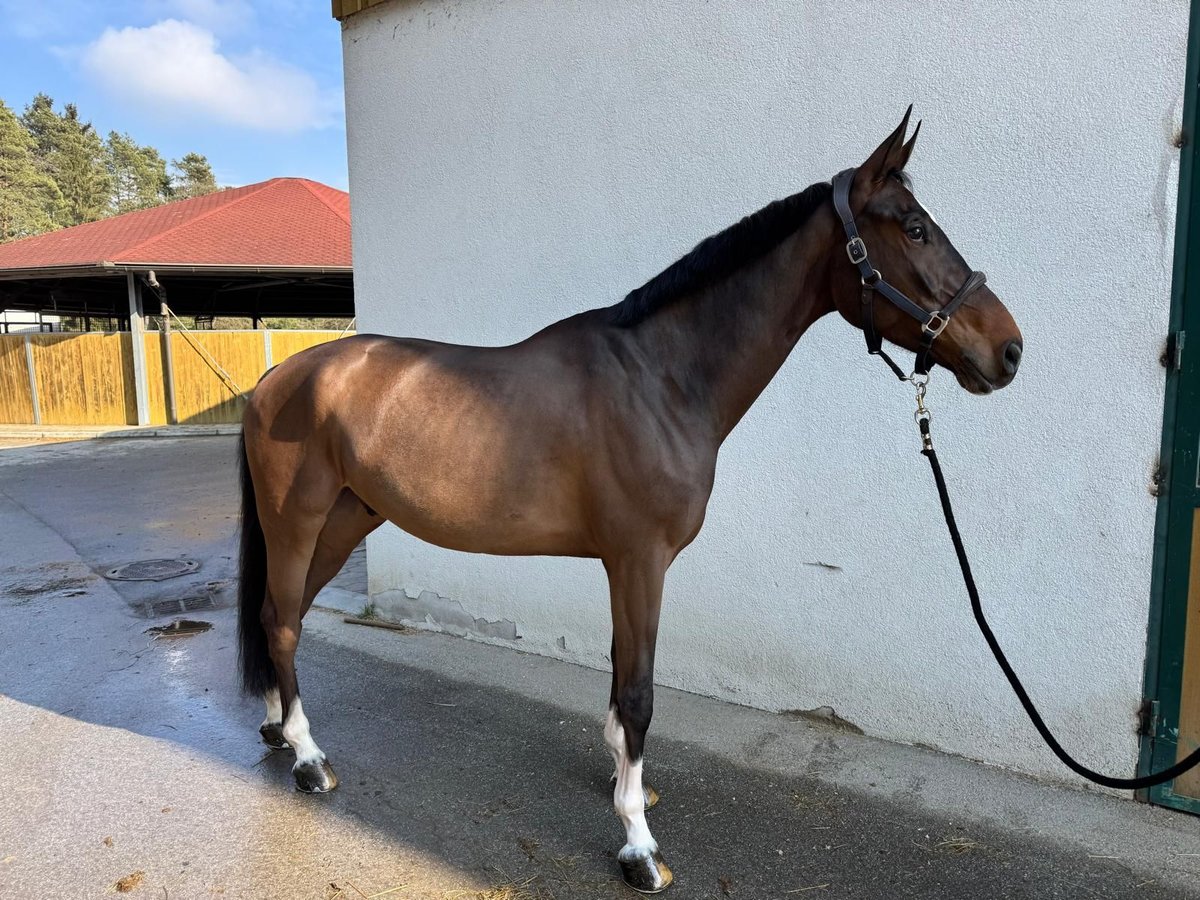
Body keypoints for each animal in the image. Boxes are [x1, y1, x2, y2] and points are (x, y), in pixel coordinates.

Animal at [236, 109, 1022, 892]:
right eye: (915, 228)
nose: (1010, 350)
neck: (661, 379)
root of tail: (277, 379)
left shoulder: (624, 564)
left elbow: (621, 685)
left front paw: (627, 784)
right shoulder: (640, 560)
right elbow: (639, 692)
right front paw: (639, 846)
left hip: (344, 521)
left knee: (281, 615)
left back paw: (278, 732)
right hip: (298, 523)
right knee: (283, 623)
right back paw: (309, 760)